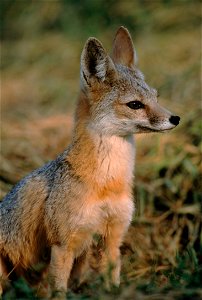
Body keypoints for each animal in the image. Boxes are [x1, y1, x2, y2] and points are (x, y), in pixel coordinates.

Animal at [0, 27, 180, 298]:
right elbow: (59, 290)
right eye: (135, 105)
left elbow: (113, 281)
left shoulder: (113, 238)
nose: (176, 118)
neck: (107, 183)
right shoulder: (63, 244)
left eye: (156, 97)